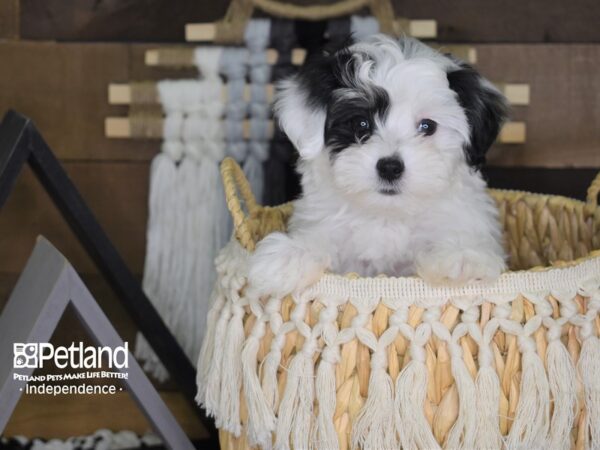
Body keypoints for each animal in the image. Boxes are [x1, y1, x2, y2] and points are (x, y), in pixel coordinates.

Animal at [248, 35, 506, 296]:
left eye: (428, 126)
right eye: (361, 124)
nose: (390, 167)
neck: (386, 215)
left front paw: (461, 256)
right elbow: (319, 236)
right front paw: (290, 254)